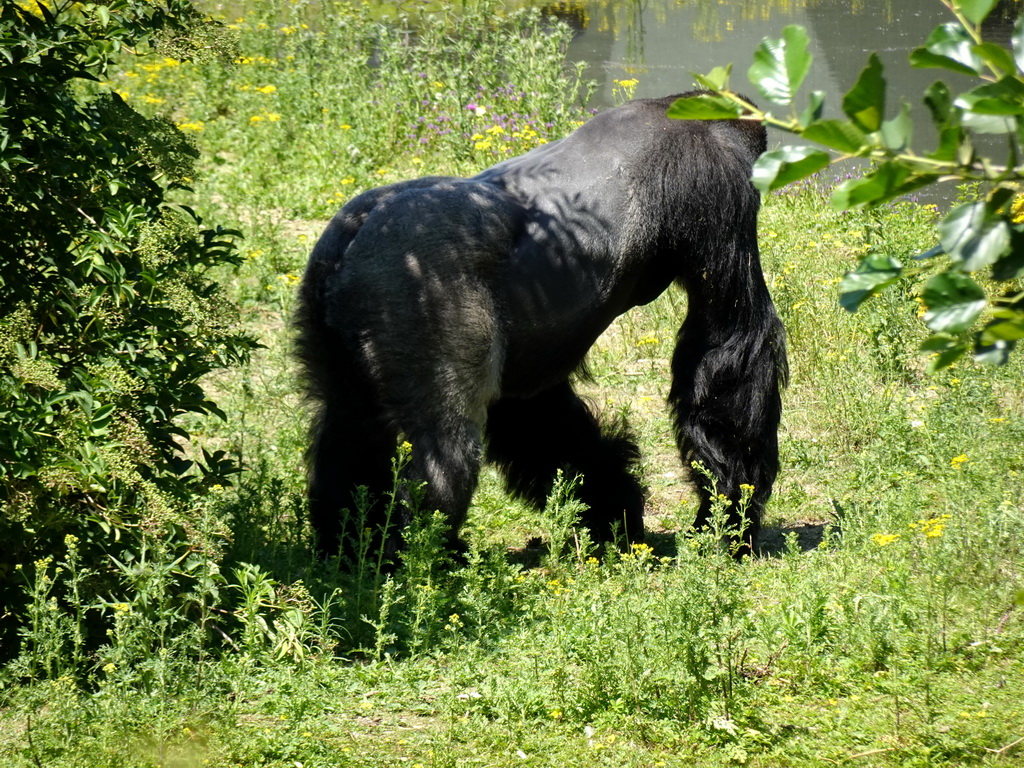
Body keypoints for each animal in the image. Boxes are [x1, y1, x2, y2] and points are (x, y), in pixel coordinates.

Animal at [296, 91, 790, 565]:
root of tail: (354, 238)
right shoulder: (715, 183)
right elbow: (728, 346)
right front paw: (730, 515)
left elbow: (537, 418)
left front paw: (615, 510)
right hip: (418, 286)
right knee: (444, 443)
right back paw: (419, 558)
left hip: (327, 302)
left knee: (348, 425)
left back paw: (348, 548)